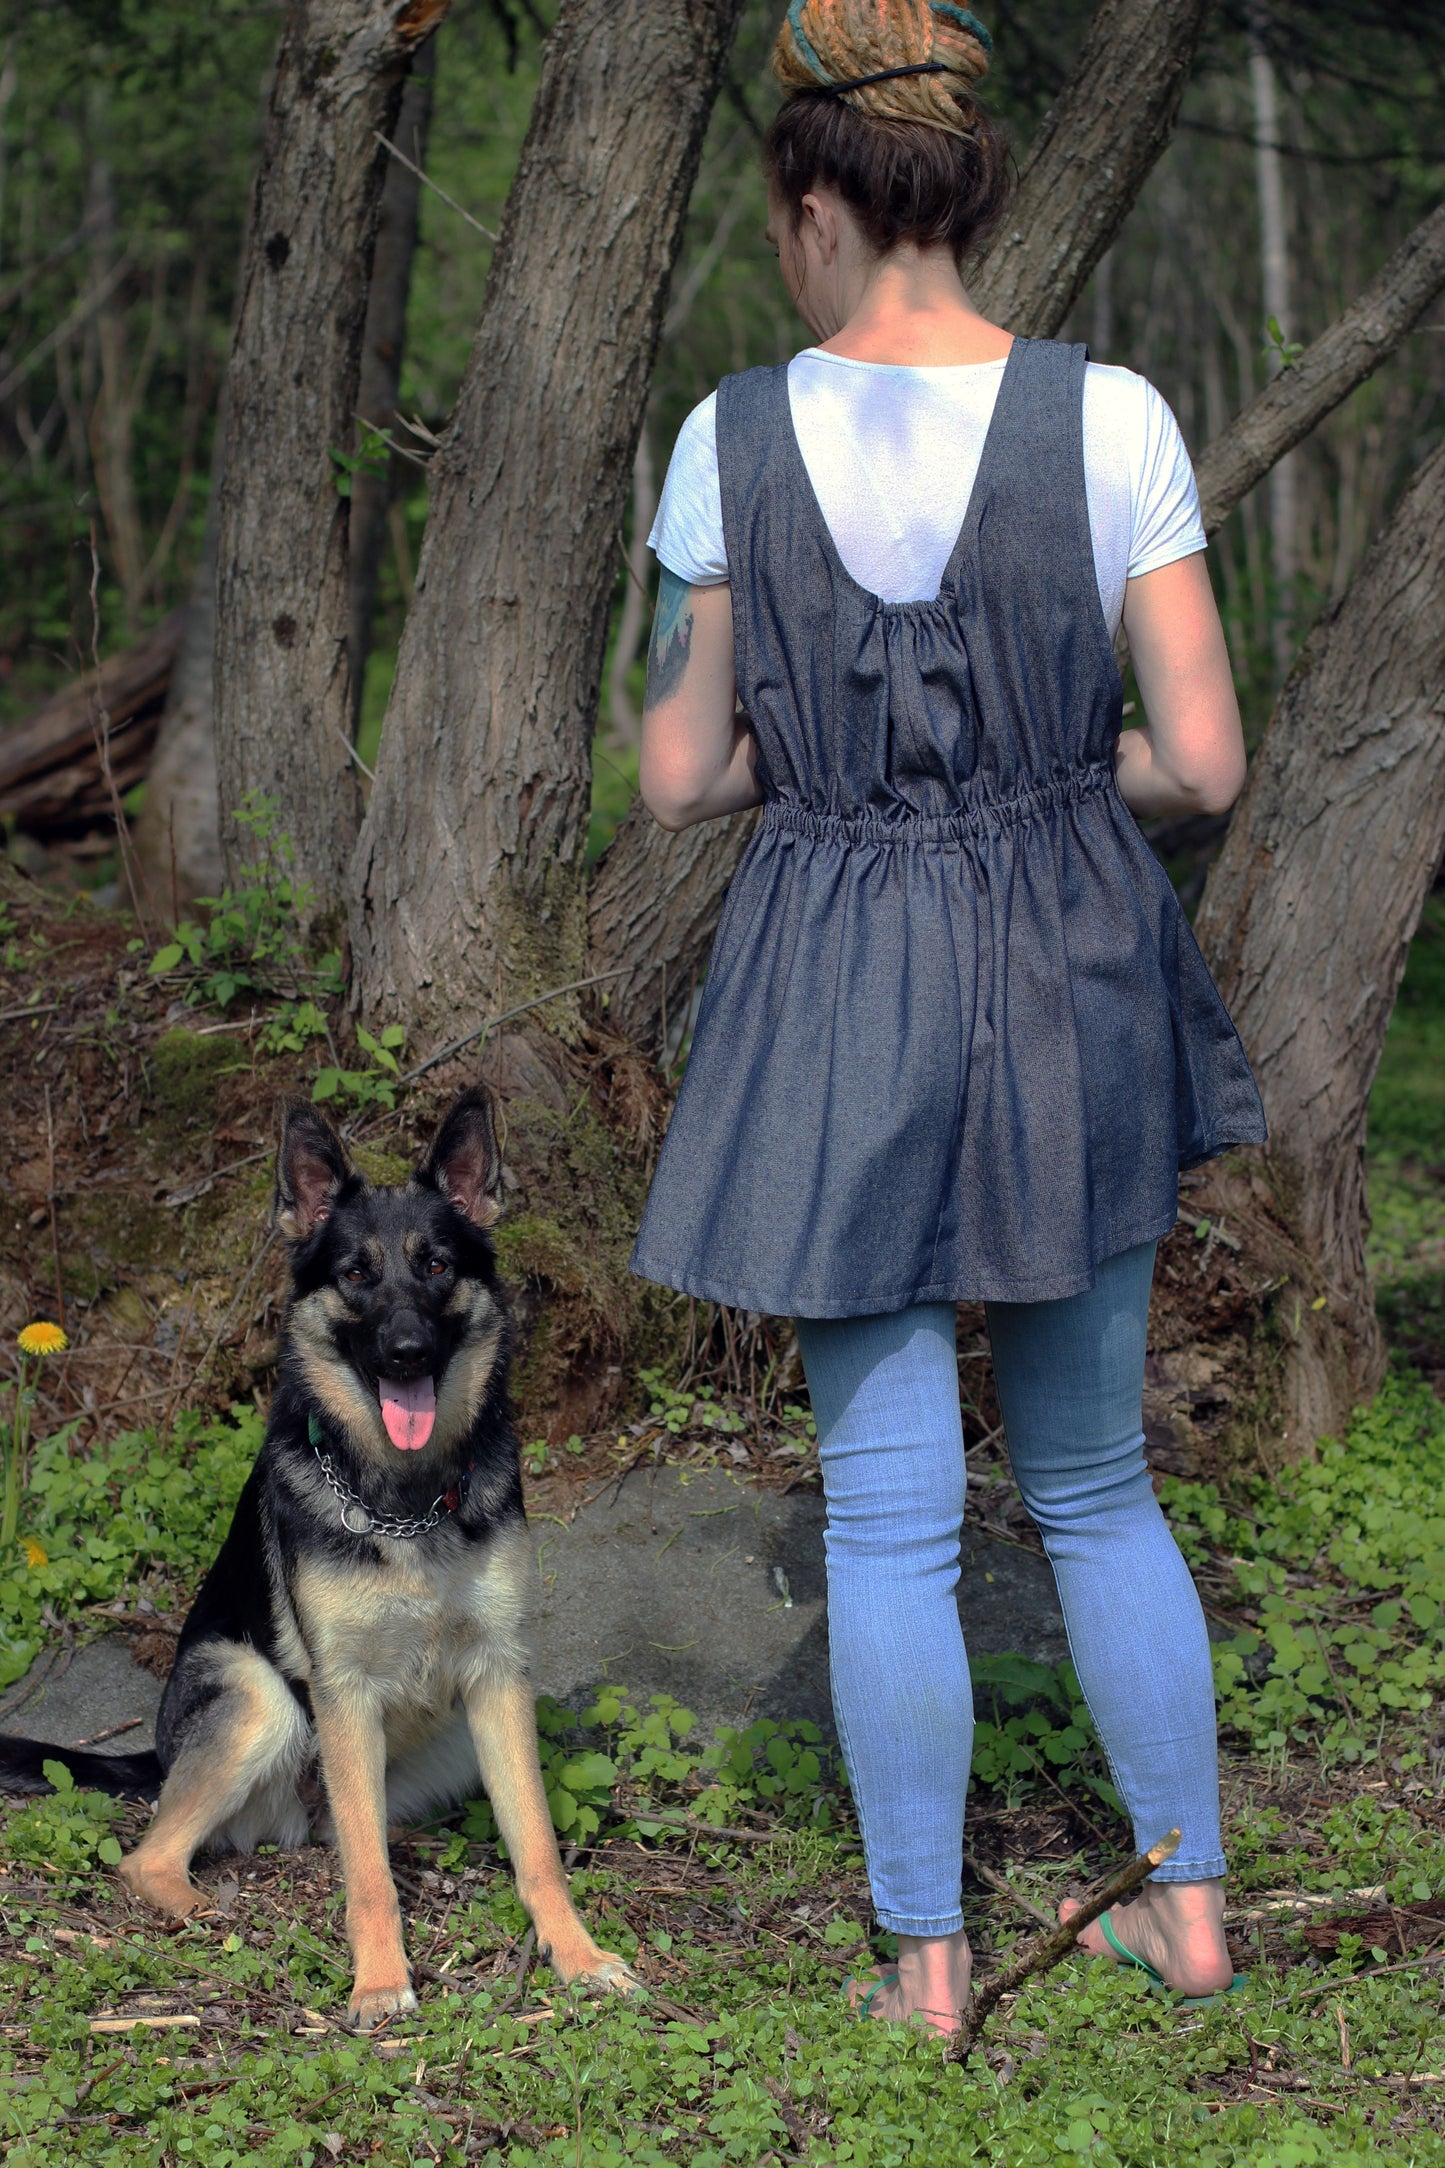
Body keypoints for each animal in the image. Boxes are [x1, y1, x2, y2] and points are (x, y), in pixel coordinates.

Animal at [0, 1092, 632, 2020]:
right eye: (356, 1275)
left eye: (436, 1265)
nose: (406, 1352)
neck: (404, 1502)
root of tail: (157, 1752)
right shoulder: (342, 1695)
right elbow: (367, 1876)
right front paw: (379, 1981)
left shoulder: (498, 1677)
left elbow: (538, 1847)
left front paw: (577, 1955)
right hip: (265, 1703)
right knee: (153, 1857)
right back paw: (204, 1910)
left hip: (444, 1739)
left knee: (345, 1828)